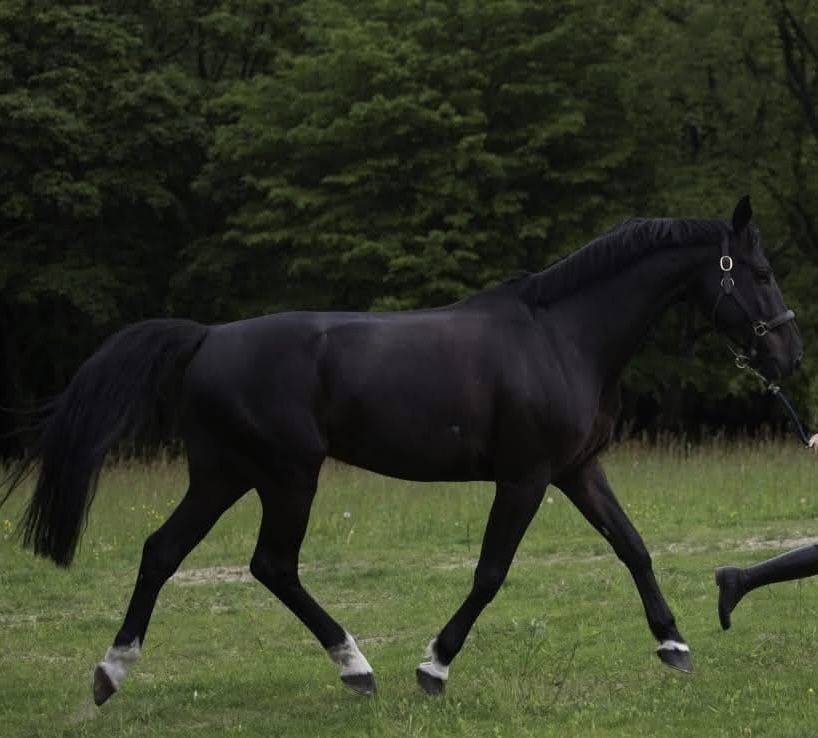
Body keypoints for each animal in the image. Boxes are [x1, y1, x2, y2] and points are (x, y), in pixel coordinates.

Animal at [1, 196, 803, 702]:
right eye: (760, 274)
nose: (790, 356)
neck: (561, 336)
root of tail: (206, 338)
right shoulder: (525, 478)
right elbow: (490, 573)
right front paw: (434, 666)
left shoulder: (577, 470)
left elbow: (632, 547)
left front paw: (674, 646)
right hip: (286, 476)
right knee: (270, 565)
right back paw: (356, 666)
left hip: (224, 475)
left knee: (163, 551)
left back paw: (112, 672)